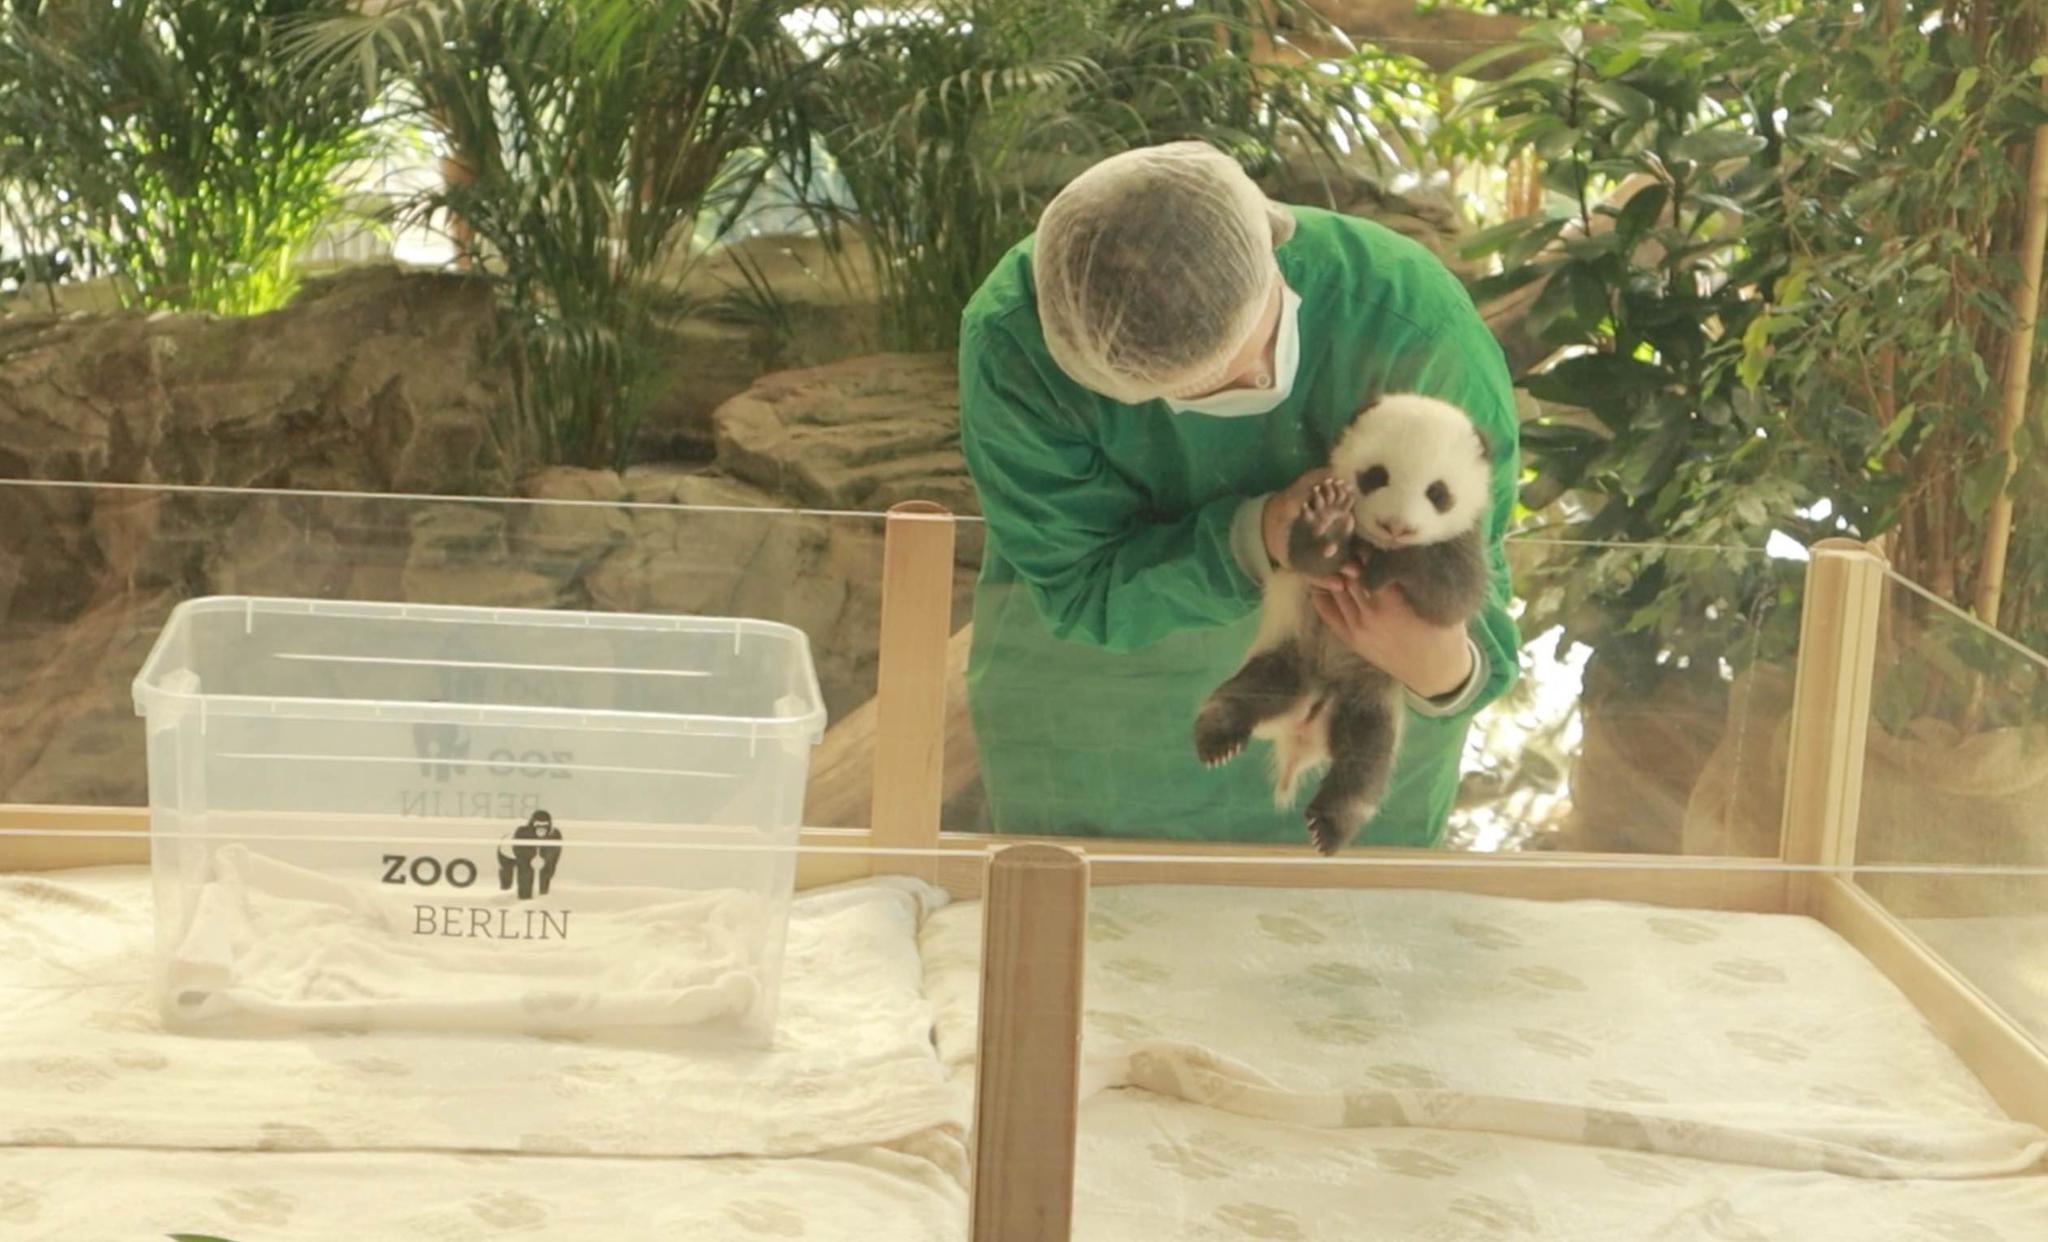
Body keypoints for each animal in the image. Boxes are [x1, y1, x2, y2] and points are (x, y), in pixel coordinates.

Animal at [1187, 397, 1490, 856]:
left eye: (1438, 493)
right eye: (1376, 475)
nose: (1396, 526)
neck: (1373, 546)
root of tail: (1305, 723)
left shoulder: (1462, 544)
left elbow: (1450, 601)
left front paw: (1394, 568)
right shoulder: (1311, 546)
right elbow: (1306, 557)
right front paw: (1328, 522)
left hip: (1370, 696)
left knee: (1363, 763)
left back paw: (1331, 824)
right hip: (1288, 653)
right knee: (1243, 695)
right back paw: (1217, 741)